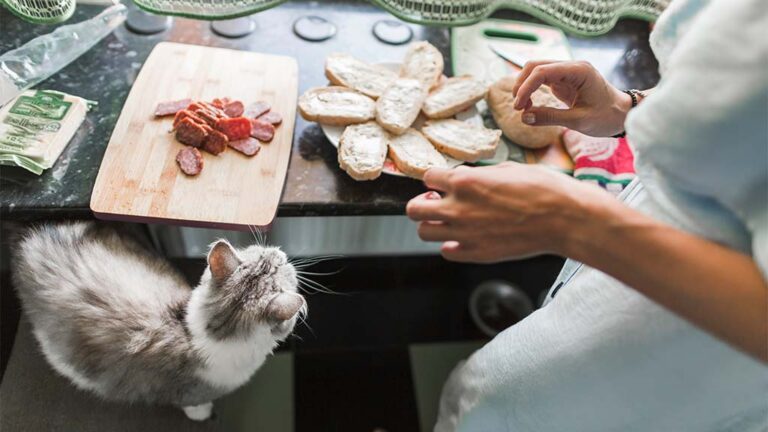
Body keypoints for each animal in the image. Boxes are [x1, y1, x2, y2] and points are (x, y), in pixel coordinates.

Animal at [11, 223, 306, 422]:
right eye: (269, 256)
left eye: (263, 252)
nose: (281, 252)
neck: (208, 333)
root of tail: (31, 242)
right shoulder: (195, 391)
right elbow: (197, 406)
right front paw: (203, 413)